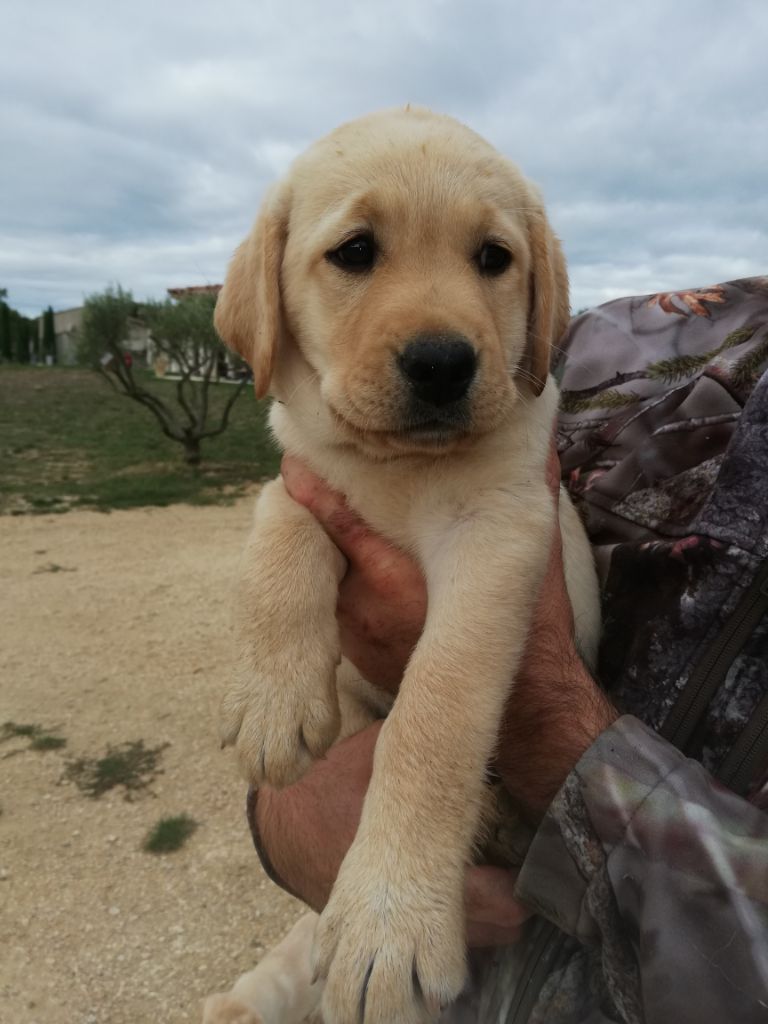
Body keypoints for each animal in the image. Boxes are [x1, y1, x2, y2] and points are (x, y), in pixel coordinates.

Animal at [215, 105, 602, 1024]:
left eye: (493, 258)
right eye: (356, 252)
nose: (442, 363)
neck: (400, 468)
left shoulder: (498, 536)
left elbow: (435, 712)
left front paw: (390, 919)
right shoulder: (306, 475)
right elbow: (278, 535)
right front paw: (272, 698)